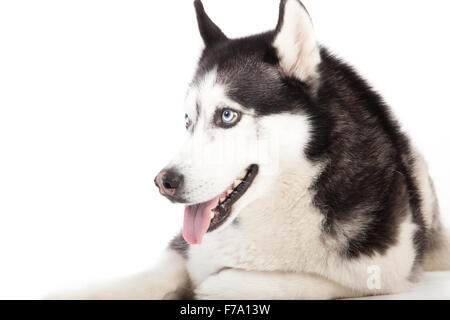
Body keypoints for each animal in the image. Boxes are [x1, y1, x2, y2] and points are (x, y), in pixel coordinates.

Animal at [58, 0, 448, 300]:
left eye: (227, 116)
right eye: (187, 121)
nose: (164, 181)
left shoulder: (385, 266)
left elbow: (308, 280)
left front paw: (218, 284)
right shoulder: (184, 250)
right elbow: (147, 277)